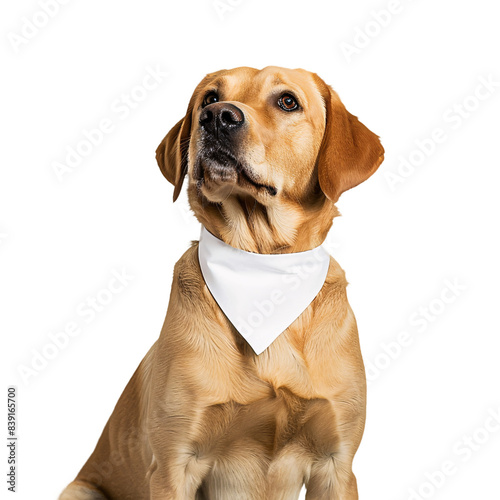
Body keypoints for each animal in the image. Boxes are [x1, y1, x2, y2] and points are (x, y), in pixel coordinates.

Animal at [60, 66, 384, 500]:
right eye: (210, 97)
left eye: (287, 101)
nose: (216, 117)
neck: (263, 267)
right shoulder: (173, 466)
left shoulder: (336, 465)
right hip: (80, 490)